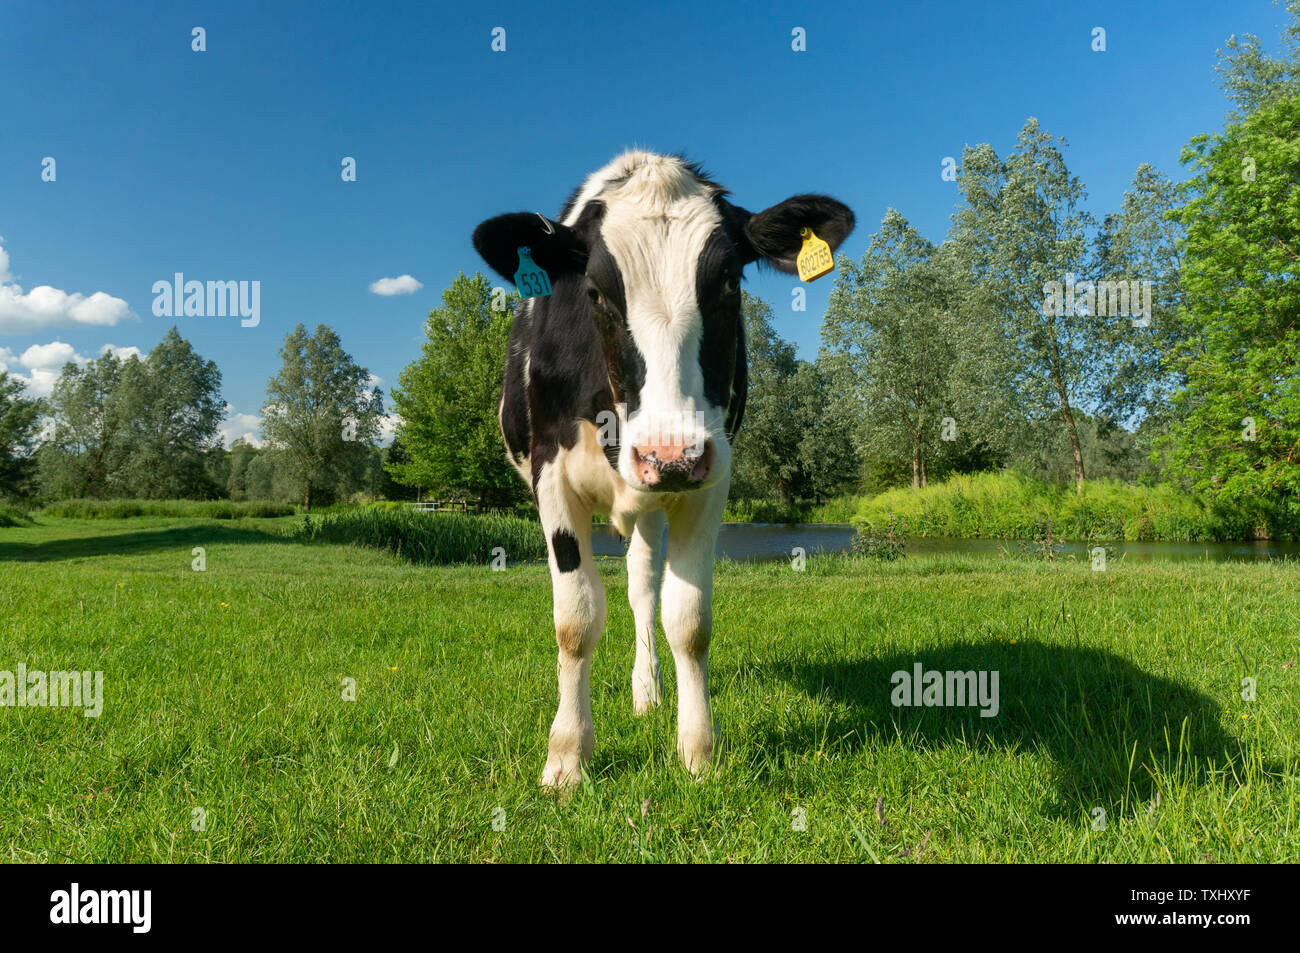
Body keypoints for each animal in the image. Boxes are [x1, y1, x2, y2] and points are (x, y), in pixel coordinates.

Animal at [472, 151, 854, 788]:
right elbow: (575, 620)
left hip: (654, 502)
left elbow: (688, 618)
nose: (669, 453)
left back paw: (647, 691)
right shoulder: (551, 479)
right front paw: (566, 758)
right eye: (596, 291)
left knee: (642, 588)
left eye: (730, 282)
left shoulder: (710, 475)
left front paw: (698, 751)